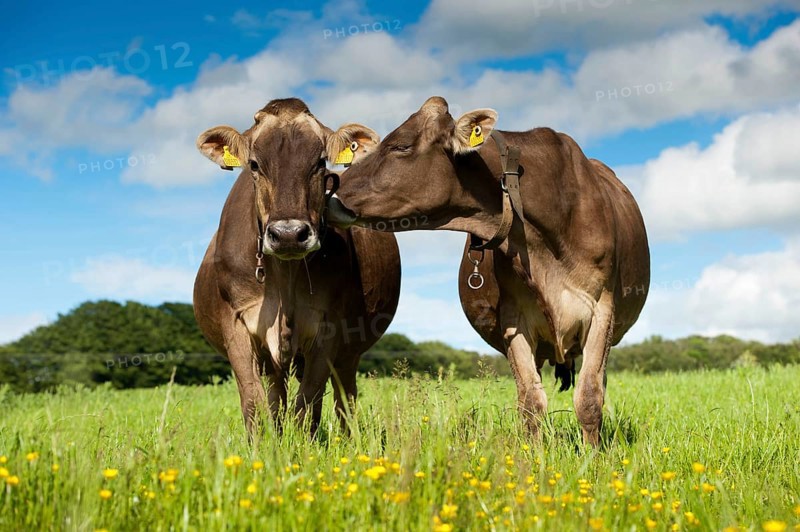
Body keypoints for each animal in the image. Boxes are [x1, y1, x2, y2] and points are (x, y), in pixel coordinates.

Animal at [193, 98, 401, 439]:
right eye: (254, 164)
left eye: (320, 162)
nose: (289, 234)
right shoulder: (236, 321)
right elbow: (254, 402)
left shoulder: (331, 325)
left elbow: (308, 401)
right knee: (277, 398)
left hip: (349, 353)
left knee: (342, 398)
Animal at [329, 96, 650, 445]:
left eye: (400, 146)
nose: (329, 191)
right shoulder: (514, 318)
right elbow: (531, 402)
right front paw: (533, 455)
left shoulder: (601, 308)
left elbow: (590, 397)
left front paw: (593, 456)